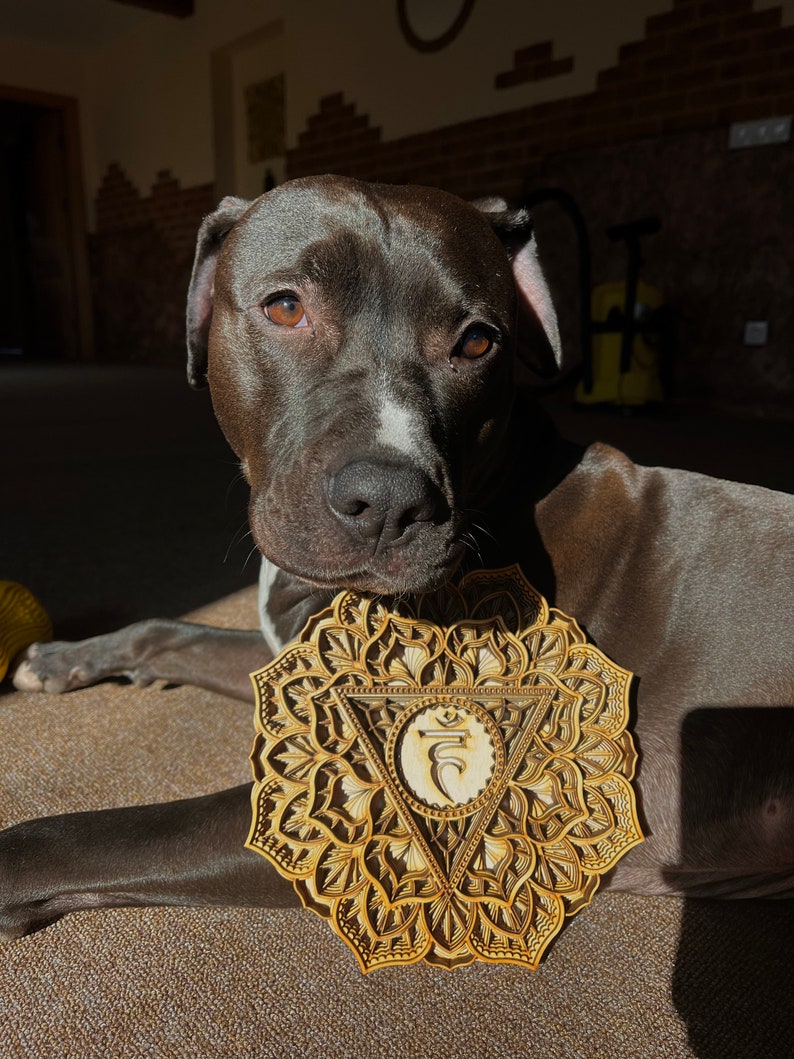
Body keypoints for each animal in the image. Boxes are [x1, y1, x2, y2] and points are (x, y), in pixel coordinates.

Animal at [3, 175, 791, 944]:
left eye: (478, 343)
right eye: (285, 307)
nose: (387, 501)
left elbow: (86, 836)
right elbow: (170, 629)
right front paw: (66, 656)